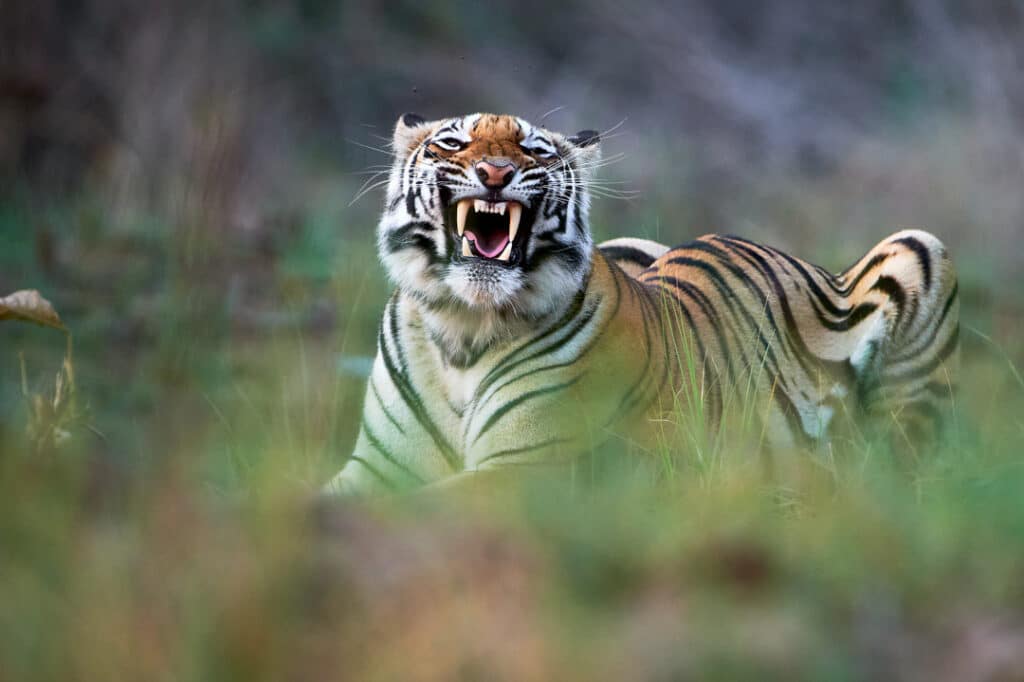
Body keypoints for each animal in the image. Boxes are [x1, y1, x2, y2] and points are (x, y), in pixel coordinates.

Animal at [324, 112, 959, 495]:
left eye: (533, 151)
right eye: (453, 143)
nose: (496, 172)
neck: (462, 324)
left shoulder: (527, 466)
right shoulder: (377, 466)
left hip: (921, 250)